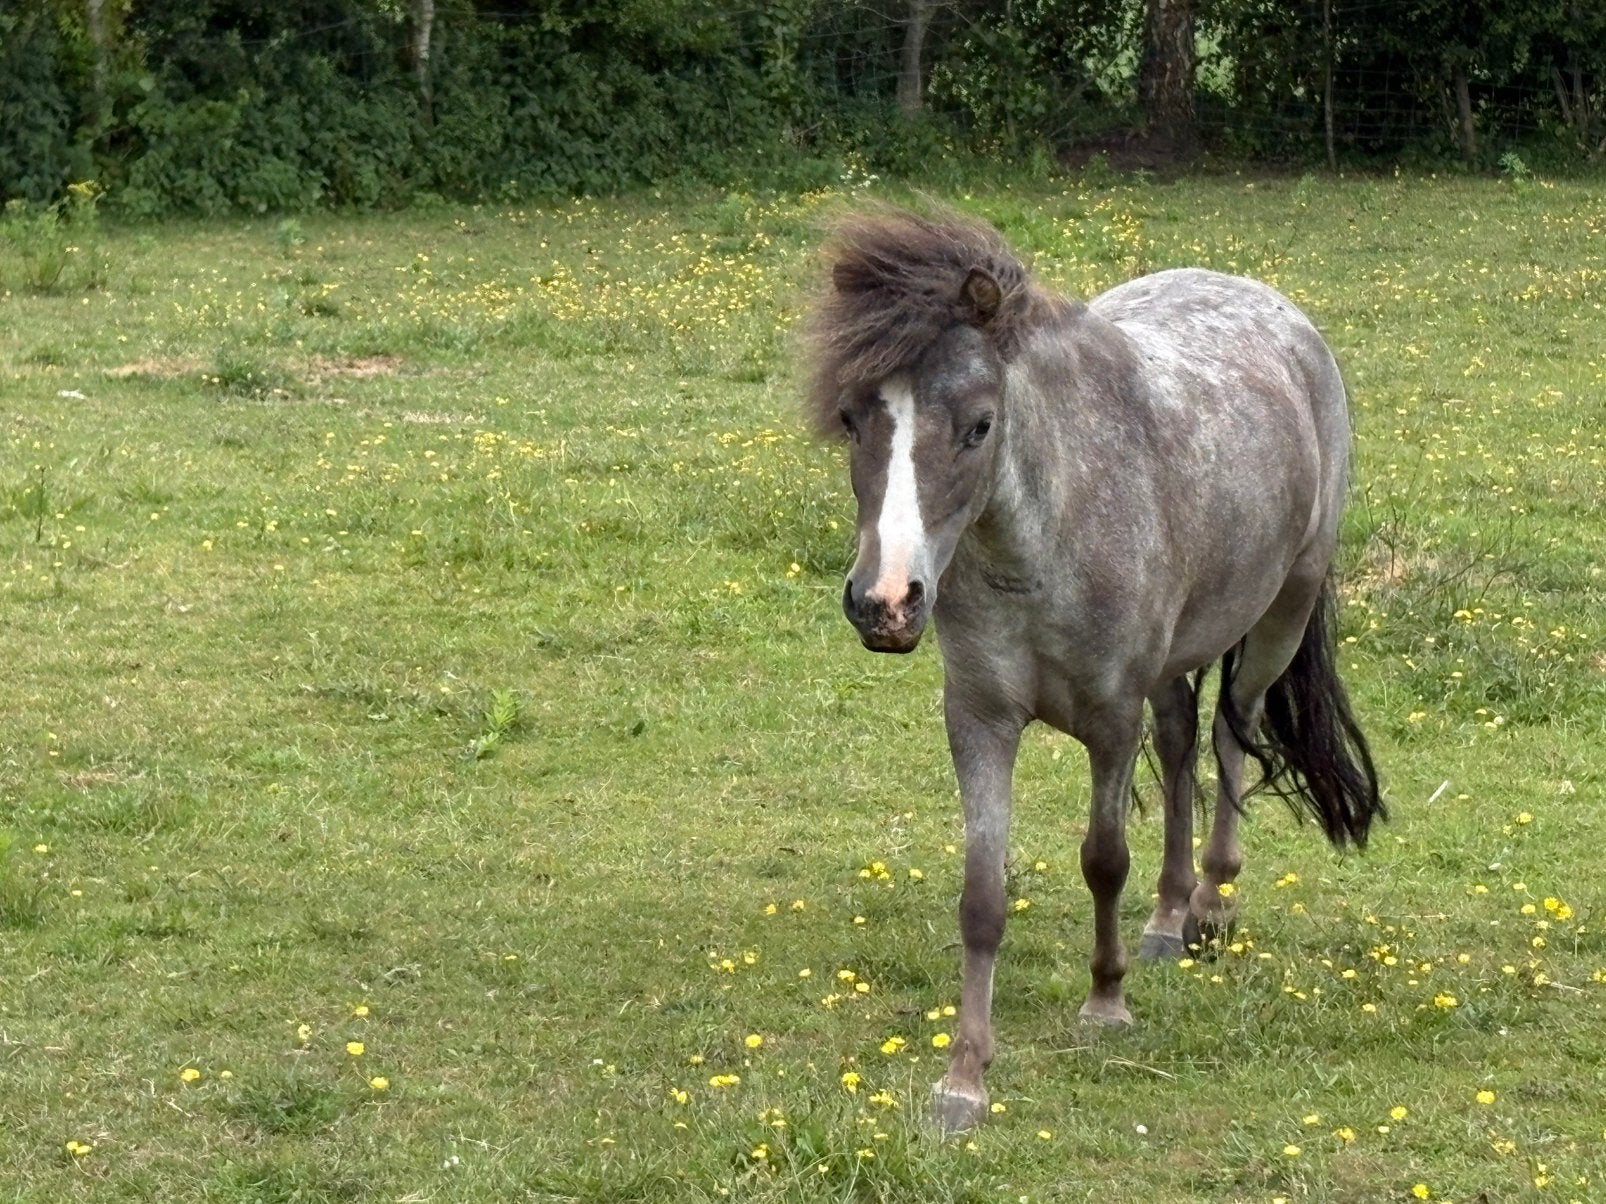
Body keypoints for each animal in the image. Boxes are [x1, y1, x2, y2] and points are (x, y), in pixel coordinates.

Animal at [802, 207, 1384, 1134]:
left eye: (979, 425)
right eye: (855, 419)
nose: (885, 602)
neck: (1040, 546)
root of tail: (1273, 307)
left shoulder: (1112, 720)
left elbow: (1103, 859)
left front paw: (1105, 1001)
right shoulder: (979, 720)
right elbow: (982, 898)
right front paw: (964, 1077)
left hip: (1278, 619)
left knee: (1232, 734)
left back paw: (1210, 905)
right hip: (1172, 666)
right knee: (1182, 739)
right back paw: (1169, 916)